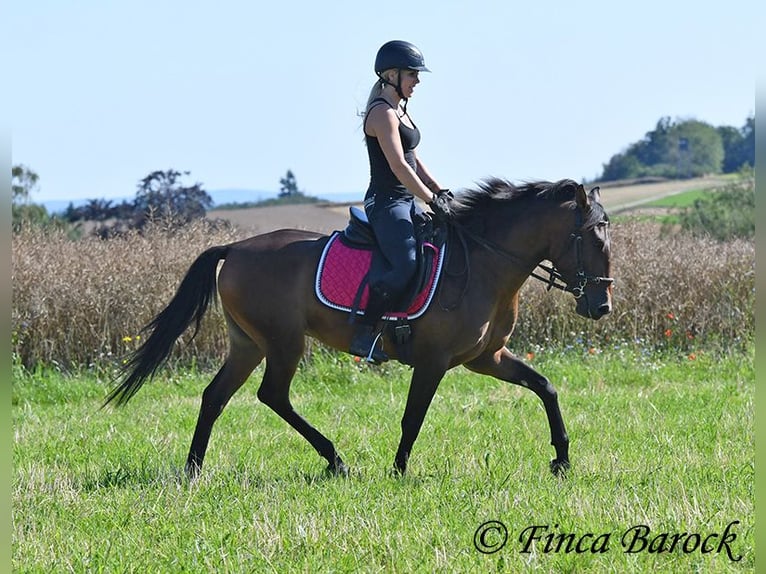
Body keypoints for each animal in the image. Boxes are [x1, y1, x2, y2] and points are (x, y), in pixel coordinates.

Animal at [105, 179, 616, 482]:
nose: (602, 306)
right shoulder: (434, 360)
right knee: (272, 395)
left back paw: (193, 470)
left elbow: (545, 387)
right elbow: (414, 416)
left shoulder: (485, 358)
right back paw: (335, 460)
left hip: (248, 343)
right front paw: (399, 471)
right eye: (594, 241)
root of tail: (236, 248)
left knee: (216, 396)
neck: (486, 262)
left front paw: (562, 459)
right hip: (283, 342)